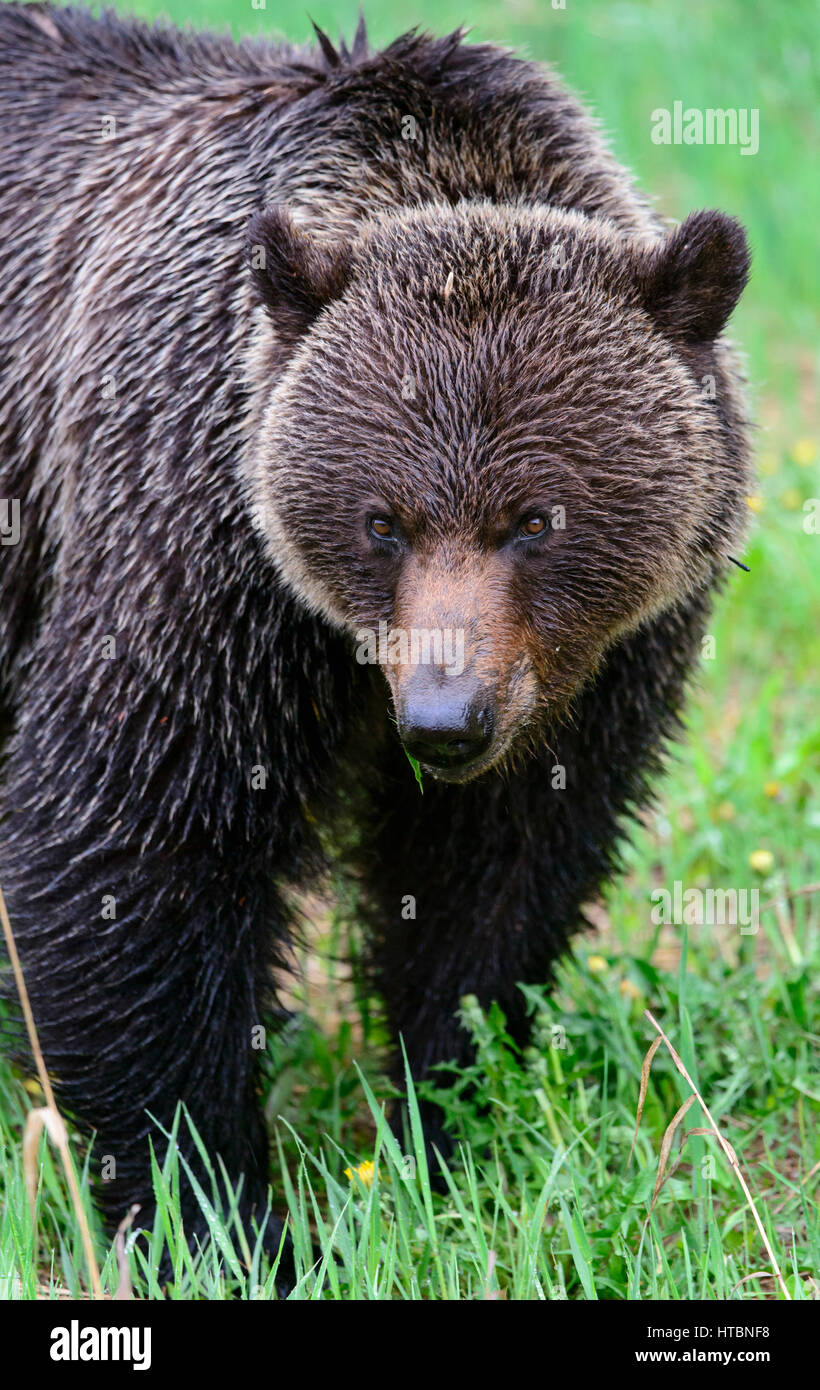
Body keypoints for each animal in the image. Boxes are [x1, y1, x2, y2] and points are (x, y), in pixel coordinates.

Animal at [1, 5, 750, 1284]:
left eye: (535, 518)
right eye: (380, 518)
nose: (444, 720)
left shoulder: (598, 666)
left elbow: (496, 876)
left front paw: (440, 1124)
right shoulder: (196, 557)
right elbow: (131, 845)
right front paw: (220, 1214)